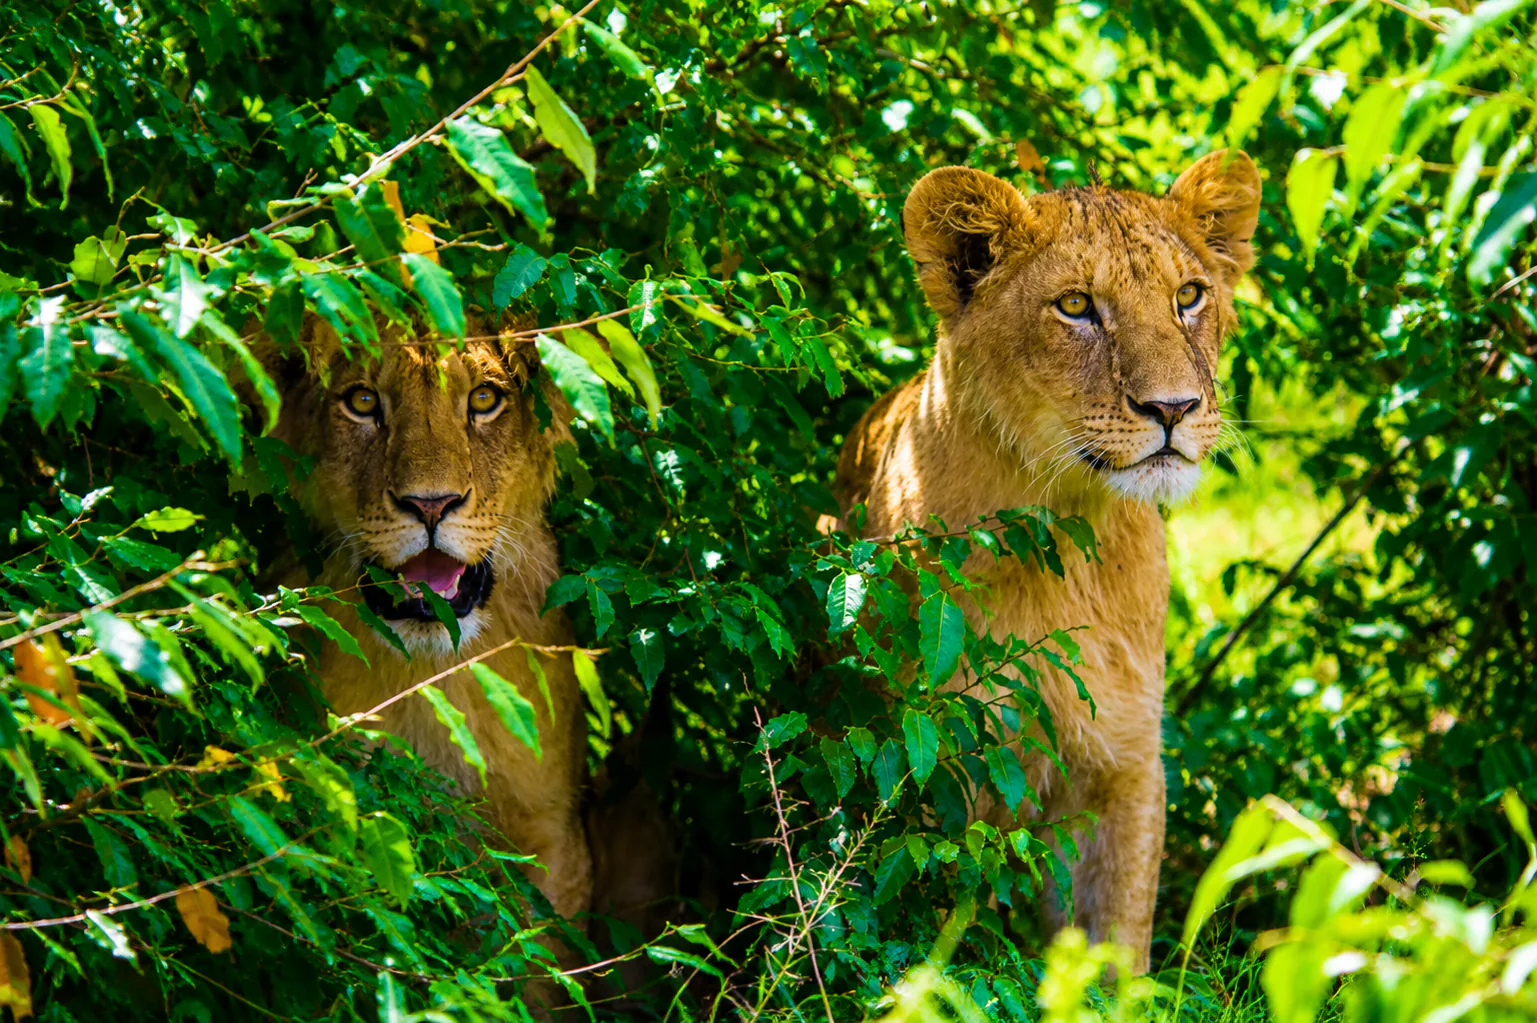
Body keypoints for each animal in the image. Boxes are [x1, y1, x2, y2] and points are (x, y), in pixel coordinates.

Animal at [834, 150, 1261, 971]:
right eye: (1075, 306)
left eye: (1188, 296)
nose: (1174, 409)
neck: (1065, 534)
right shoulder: (937, 767)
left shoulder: (1126, 764)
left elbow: (1117, 942)